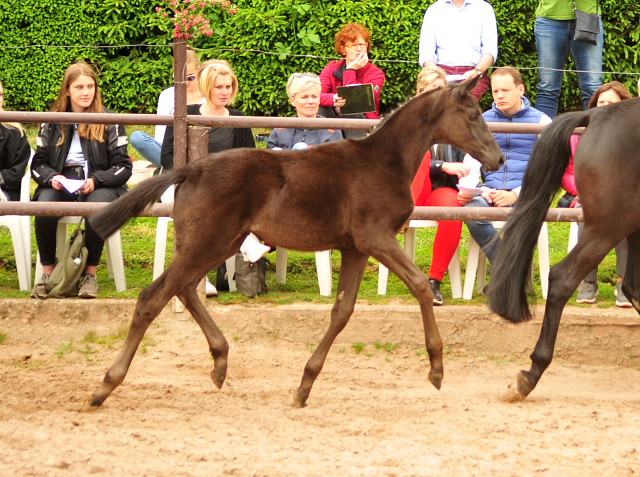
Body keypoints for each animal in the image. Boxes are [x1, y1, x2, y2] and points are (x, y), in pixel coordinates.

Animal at [87, 77, 504, 406]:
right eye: (472, 115)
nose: (498, 159)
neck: (385, 162)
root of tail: (192, 168)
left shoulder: (354, 248)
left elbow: (342, 310)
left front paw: (305, 385)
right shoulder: (376, 238)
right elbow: (418, 285)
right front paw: (436, 368)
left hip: (220, 242)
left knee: (185, 289)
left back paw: (220, 362)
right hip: (208, 241)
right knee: (153, 296)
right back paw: (105, 385)